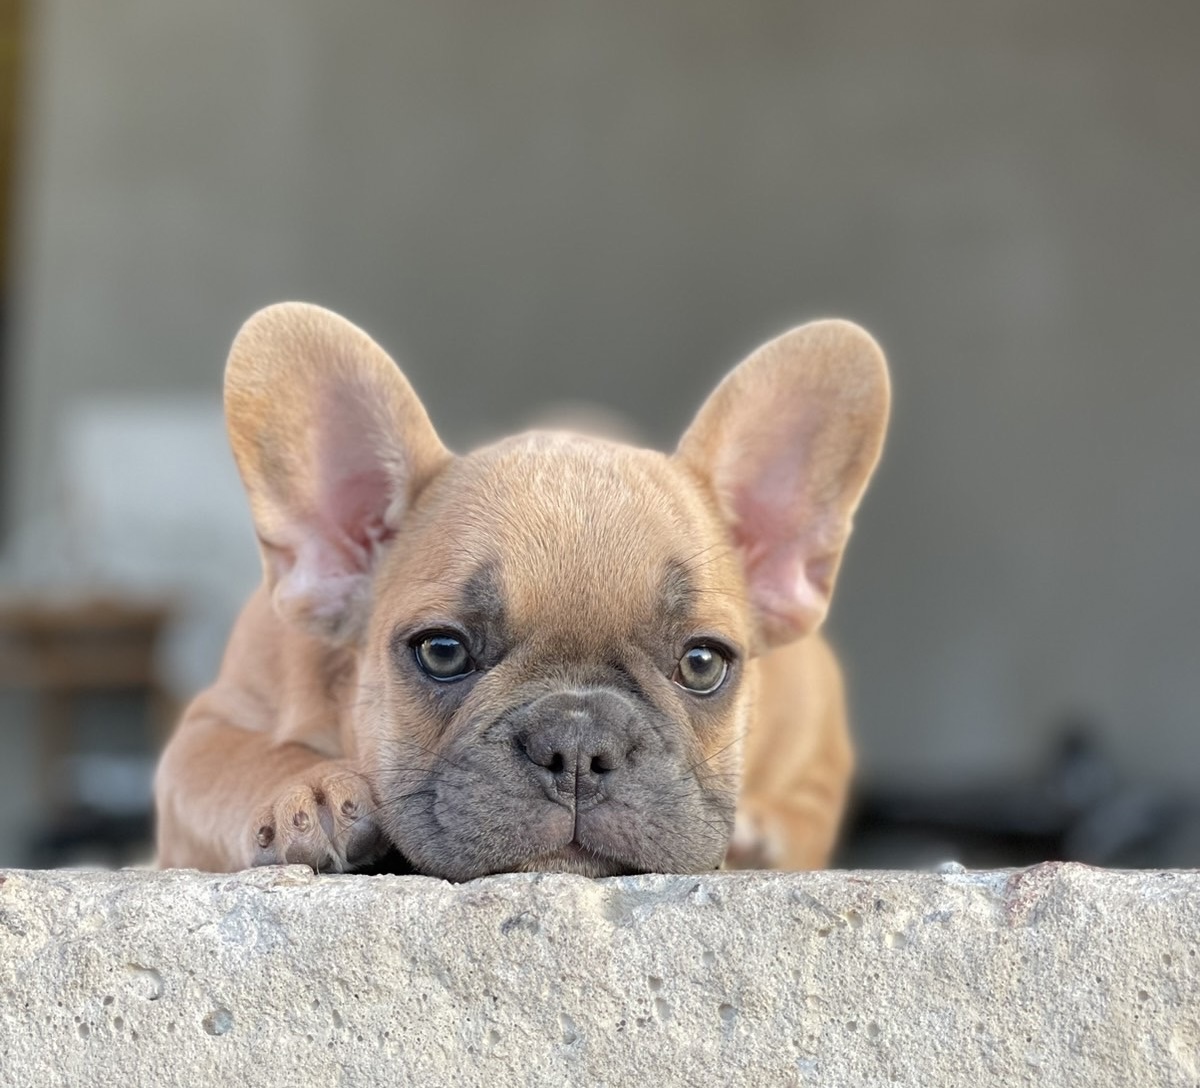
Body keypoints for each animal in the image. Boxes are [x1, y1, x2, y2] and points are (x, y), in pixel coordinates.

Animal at [152, 302, 892, 882]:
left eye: (703, 662)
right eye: (442, 651)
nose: (579, 744)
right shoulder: (206, 732)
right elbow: (238, 758)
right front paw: (307, 792)